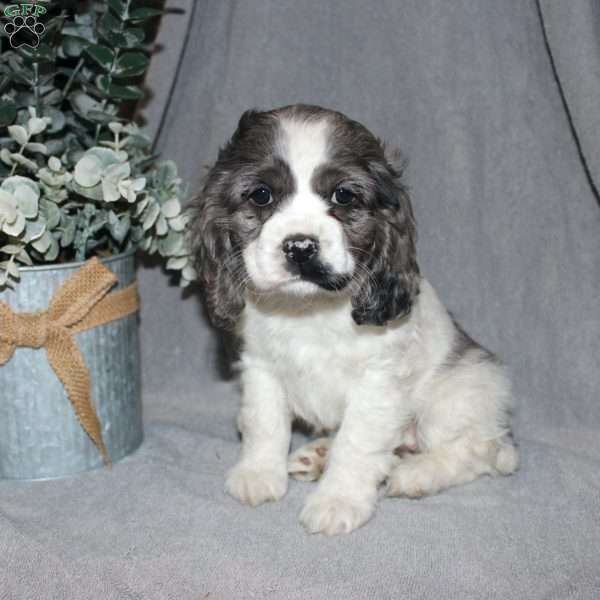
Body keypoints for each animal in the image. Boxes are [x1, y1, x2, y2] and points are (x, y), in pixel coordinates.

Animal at [190, 103, 516, 536]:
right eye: (261, 194)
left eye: (343, 195)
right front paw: (258, 473)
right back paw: (317, 454)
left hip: (456, 397)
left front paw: (337, 500)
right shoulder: (261, 368)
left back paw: (417, 472)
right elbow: (265, 422)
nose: (300, 246)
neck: (309, 309)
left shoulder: (376, 383)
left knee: (478, 450)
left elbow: (357, 443)